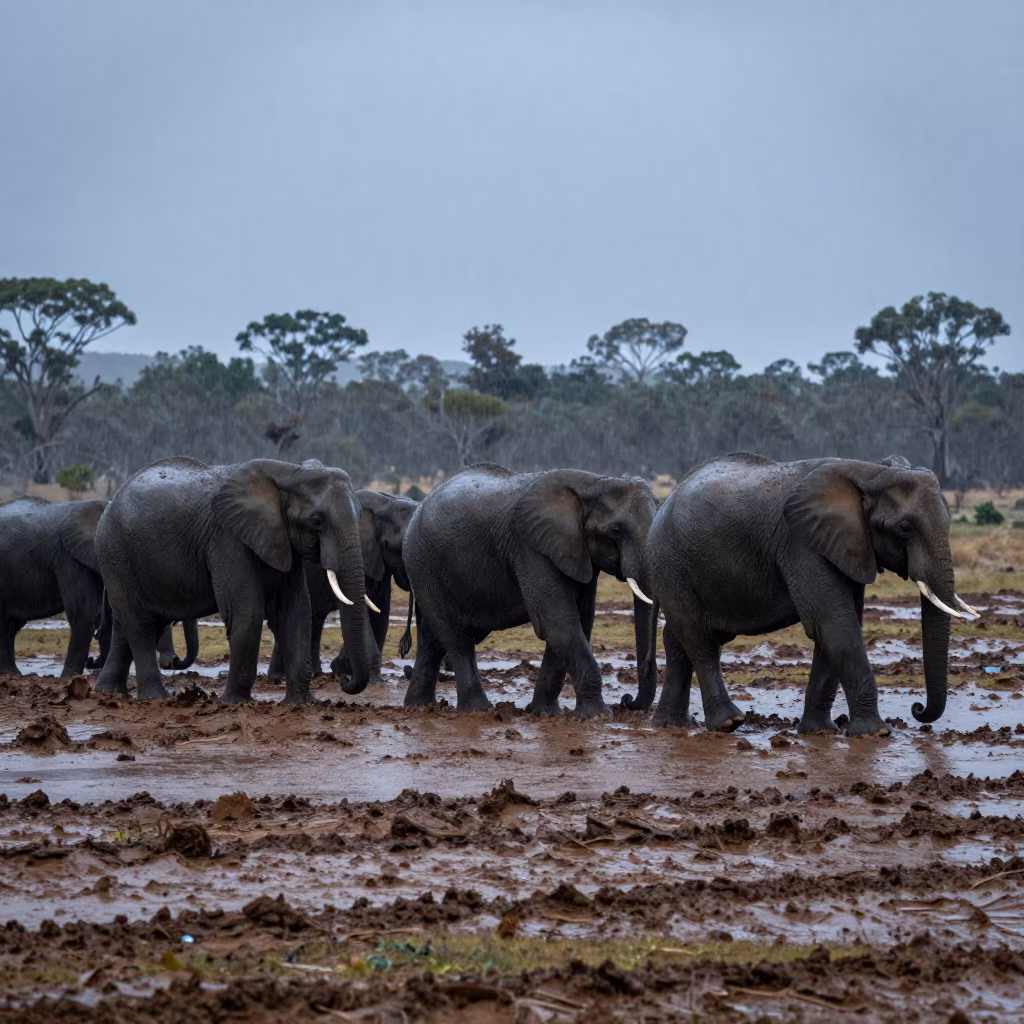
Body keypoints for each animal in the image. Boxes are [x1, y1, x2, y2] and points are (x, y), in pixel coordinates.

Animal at [0, 496, 197, 678]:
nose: (173, 662)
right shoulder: (67, 557)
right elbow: (83, 610)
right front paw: (69, 678)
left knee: (11, 626)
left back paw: (12, 674)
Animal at [94, 456, 375, 704]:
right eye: (317, 520)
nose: (344, 680)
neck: (289, 473)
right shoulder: (226, 537)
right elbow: (247, 611)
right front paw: (235, 703)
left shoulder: (282, 542)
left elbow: (295, 610)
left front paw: (304, 703)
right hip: (115, 553)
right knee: (140, 625)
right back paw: (156, 698)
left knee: (131, 626)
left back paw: (108, 693)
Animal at [267, 489, 419, 682]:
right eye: (399, 547)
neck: (385, 503)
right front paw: (364, 677)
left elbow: (381, 612)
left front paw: (349, 671)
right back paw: (279, 677)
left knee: (314, 621)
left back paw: (313, 674)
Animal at [402, 463, 659, 717]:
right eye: (616, 531)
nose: (627, 700)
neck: (593, 483)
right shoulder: (530, 548)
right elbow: (558, 623)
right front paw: (597, 715)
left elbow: (578, 622)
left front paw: (544, 713)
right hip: (425, 565)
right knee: (456, 638)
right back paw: (478, 710)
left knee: (431, 639)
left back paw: (419, 706)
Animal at [638, 453, 970, 736]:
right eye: (904, 527)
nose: (918, 708)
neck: (870, 472)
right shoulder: (801, 544)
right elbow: (835, 626)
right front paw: (876, 733)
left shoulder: (845, 546)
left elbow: (834, 630)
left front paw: (820, 731)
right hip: (670, 561)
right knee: (698, 638)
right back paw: (728, 723)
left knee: (678, 639)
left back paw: (671, 725)